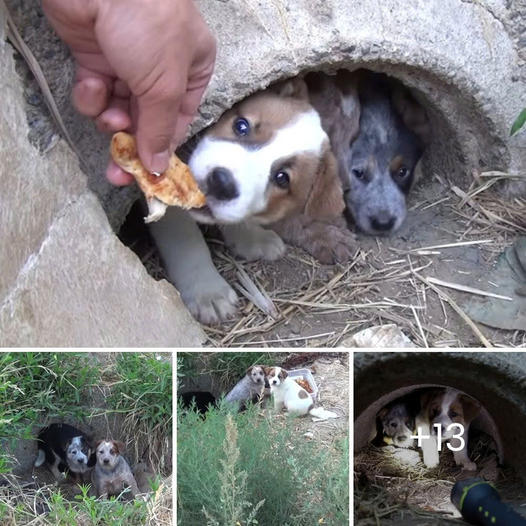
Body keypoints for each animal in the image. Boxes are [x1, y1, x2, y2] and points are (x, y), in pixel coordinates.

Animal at [150, 78, 350, 326]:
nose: (222, 182)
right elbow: (184, 236)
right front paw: (207, 291)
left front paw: (253, 238)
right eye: (241, 126)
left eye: (282, 178)